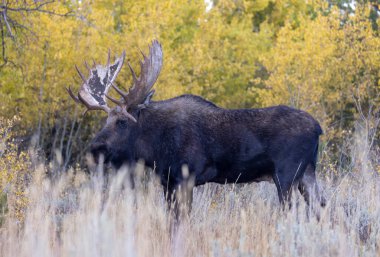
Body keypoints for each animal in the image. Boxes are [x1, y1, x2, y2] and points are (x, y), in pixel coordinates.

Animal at [67, 39, 326, 216]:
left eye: (121, 122)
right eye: (105, 121)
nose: (95, 149)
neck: (154, 148)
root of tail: (318, 128)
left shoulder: (186, 177)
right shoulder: (167, 182)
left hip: (287, 174)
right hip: (307, 173)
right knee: (321, 207)